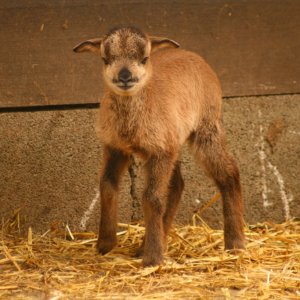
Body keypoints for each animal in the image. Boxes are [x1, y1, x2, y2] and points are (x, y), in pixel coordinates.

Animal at [74, 27, 245, 266]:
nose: (125, 76)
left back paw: (235, 244)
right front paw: (105, 244)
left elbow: (151, 197)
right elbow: (107, 185)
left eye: (144, 58)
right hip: (175, 140)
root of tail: (194, 56)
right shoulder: (116, 146)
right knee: (177, 185)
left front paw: (153, 259)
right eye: (105, 59)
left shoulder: (160, 151)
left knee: (228, 173)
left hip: (206, 127)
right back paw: (149, 243)